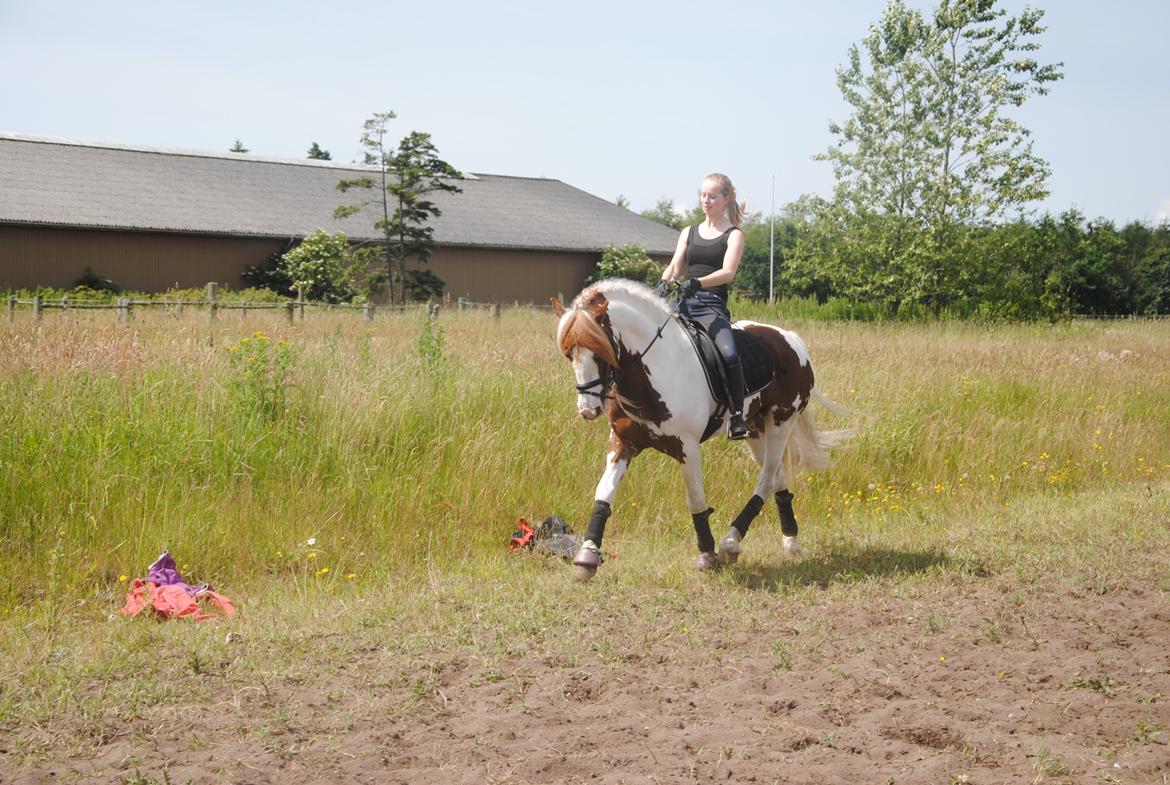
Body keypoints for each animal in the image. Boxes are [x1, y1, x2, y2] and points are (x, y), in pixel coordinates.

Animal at [552, 279, 847, 580]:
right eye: (568, 354)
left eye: (600, 351)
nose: (588, 410)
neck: (656, 369)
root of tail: (791, 340)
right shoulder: (624, 442)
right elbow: (604, 492)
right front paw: (587, 556)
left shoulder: (688, 448)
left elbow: (695, 500)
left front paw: (707, 555)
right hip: (755, 430)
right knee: (777, 476)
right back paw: (790, 542)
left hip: (780, 422)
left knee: (766, 479)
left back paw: (730, 543)